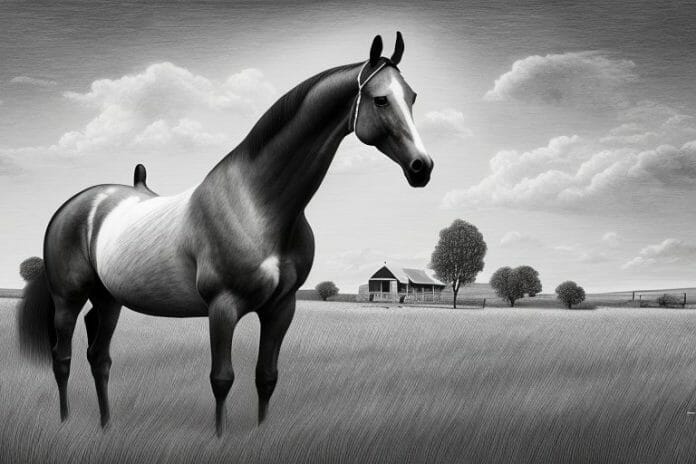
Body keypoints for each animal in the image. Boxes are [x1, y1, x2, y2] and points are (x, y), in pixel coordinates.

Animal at [17, 32, 433, 436]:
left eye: (412, 96)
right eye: (381, 99)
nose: (422, 167)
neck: (256, 205)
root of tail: (80, 204)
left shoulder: (281, 308)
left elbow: (266, 376)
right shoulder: (223, 306)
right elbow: (222, 379)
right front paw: (220, 436)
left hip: (109, 299)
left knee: (99, 357)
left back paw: (106, 424)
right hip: (68, 299)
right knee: (63, 359)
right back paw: (66, 421)